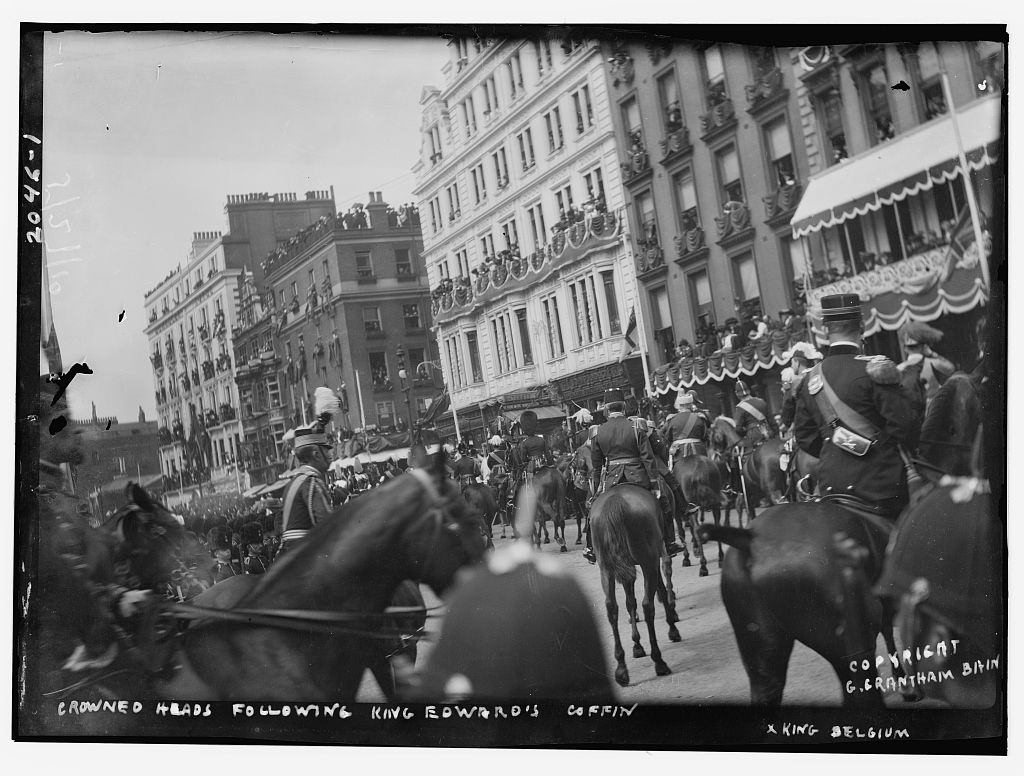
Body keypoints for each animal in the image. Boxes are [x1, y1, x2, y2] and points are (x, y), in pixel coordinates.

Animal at [589, 487, 684, 687]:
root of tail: (616, 501)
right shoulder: (654, 557)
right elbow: (660, 589)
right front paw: (672, 628)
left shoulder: (625, 568)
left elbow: (629, 602)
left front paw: (637, 645)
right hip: (648, 560)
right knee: (648, 605)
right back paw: (659, 661)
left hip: (606, 568)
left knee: (612, 608)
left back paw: (621, 669)